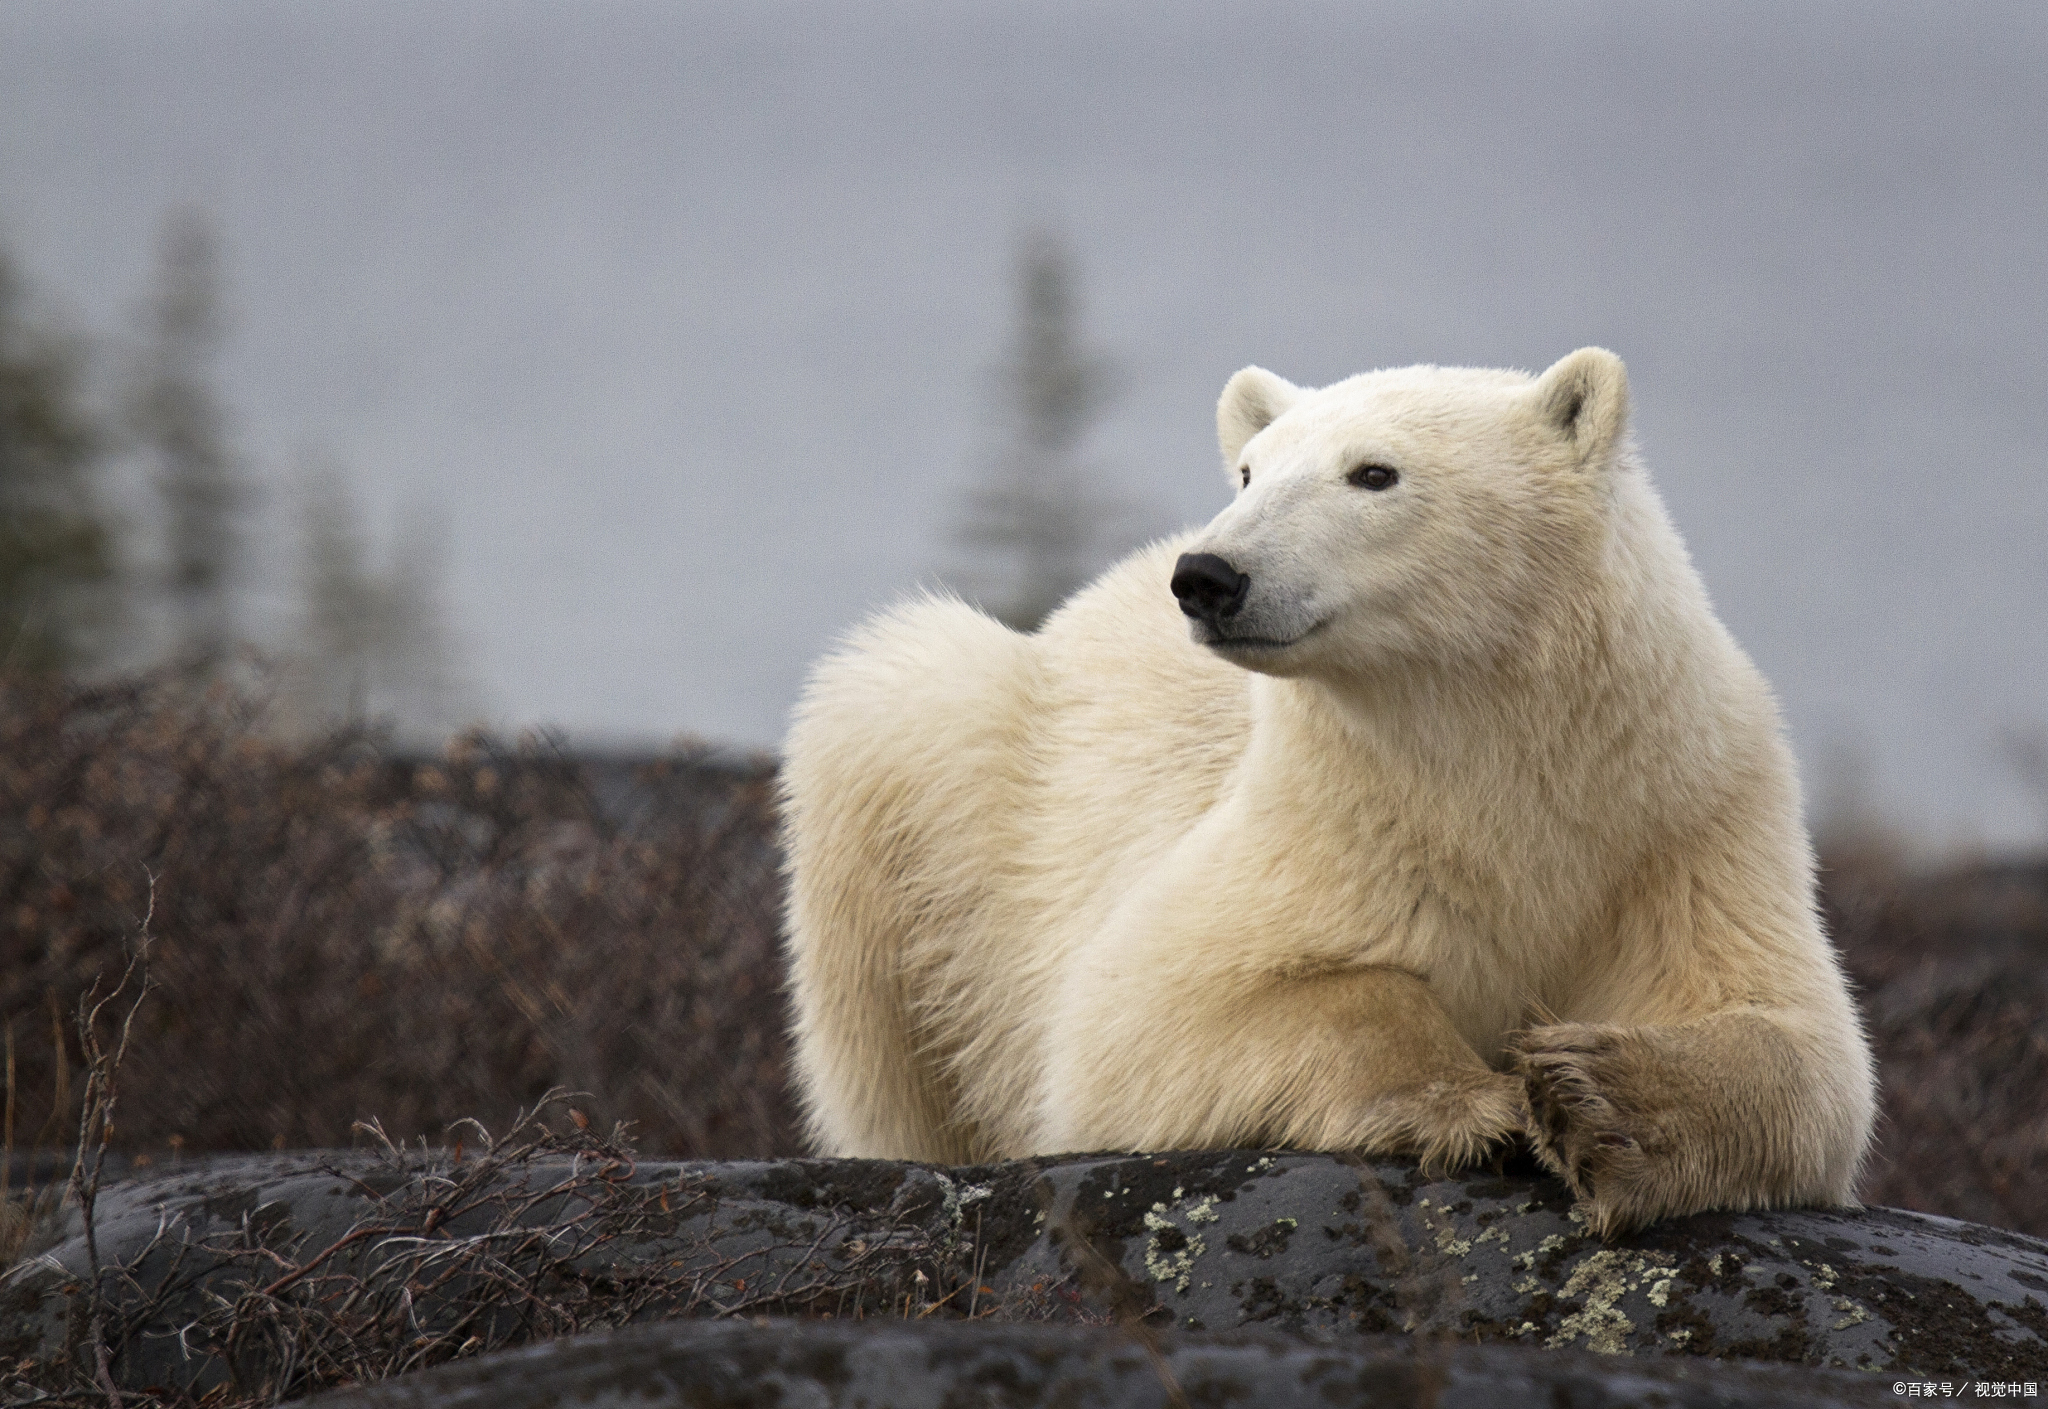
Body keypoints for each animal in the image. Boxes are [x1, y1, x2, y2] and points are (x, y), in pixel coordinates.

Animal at [778, 350, 1875, 1228]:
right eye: (1249, 469)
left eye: (1373, 472)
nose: (1208, 573)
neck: (1496, 756)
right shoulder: (1324, 815)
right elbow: (1145, 1011)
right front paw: (1466, 1102)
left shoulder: (1681, 818)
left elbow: (1799, 1045)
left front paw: (1593, 1096)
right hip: (956, 784)